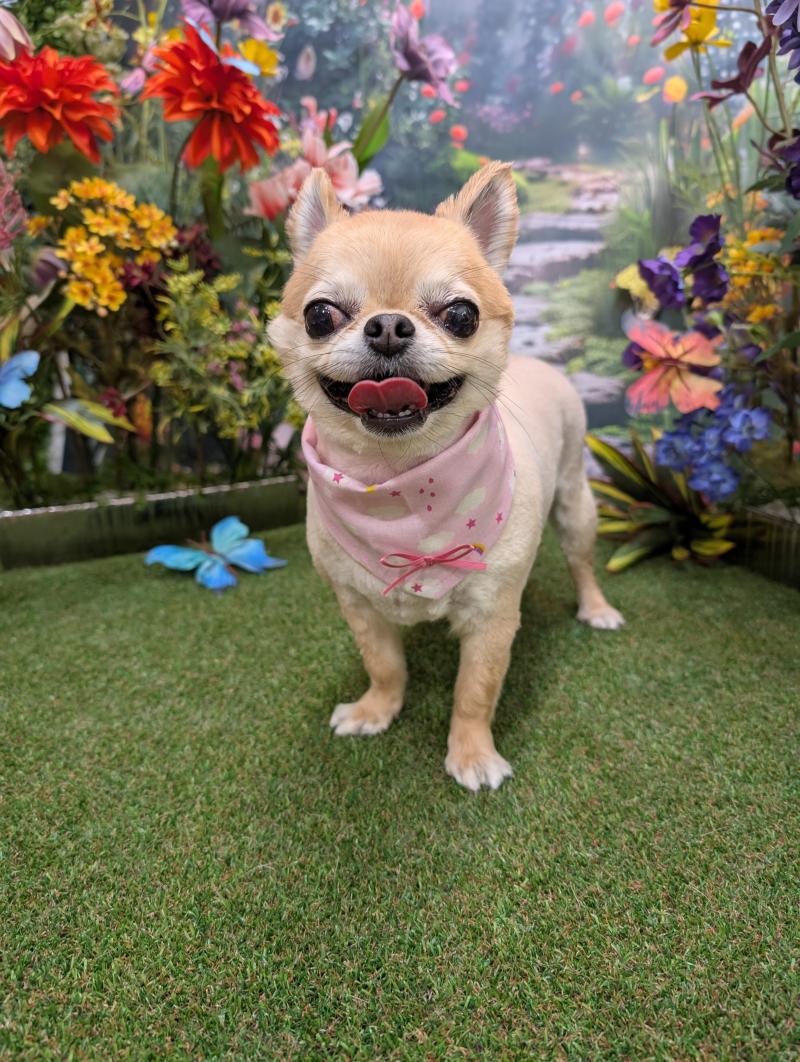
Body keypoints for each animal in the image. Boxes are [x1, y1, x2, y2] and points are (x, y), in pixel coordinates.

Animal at [268, 161, 623, 792]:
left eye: (460, 315)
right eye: (320, 315)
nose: (388, 325)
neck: (400, 487)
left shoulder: (492, 618)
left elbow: (475, 691)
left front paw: (472, 753)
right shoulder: (359, 607)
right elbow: (384, 665)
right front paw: (376, 710)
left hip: (576, 505)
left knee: (582, 562)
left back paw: (596, 608)